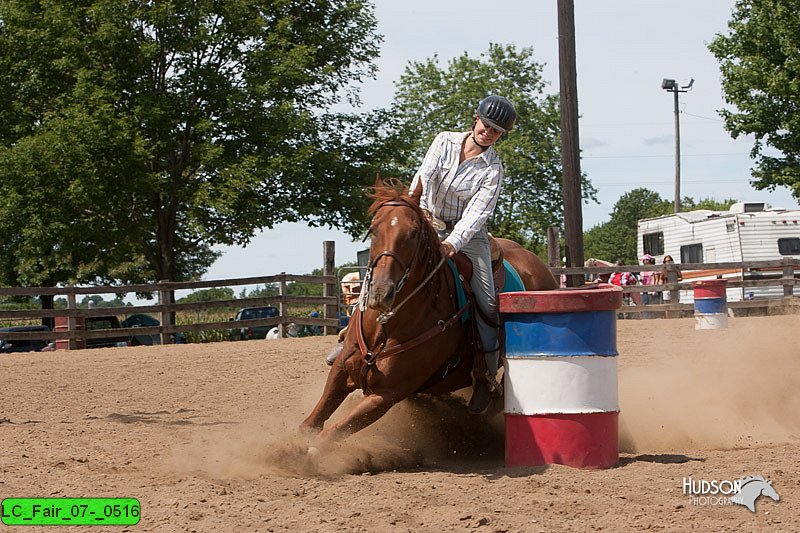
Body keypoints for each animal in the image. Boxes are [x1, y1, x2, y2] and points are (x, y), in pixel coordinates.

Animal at [300, 183, 556, 444]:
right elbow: (311, 424)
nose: (381, 292)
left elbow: (329, 435)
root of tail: (537, 264)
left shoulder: (387, 394)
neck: (388, 325)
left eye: (414, 234)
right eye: (373, 230)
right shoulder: (341, 368)